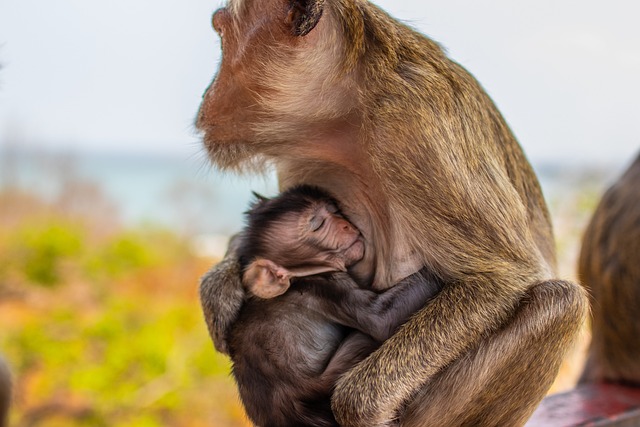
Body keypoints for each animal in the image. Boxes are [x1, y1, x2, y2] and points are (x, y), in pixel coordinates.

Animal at [230, 187, 444, 427]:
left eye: (333, 210)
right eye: (317, 224)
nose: (345, 225)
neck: (299, 277)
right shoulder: (326, 284)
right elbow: (380, 319)